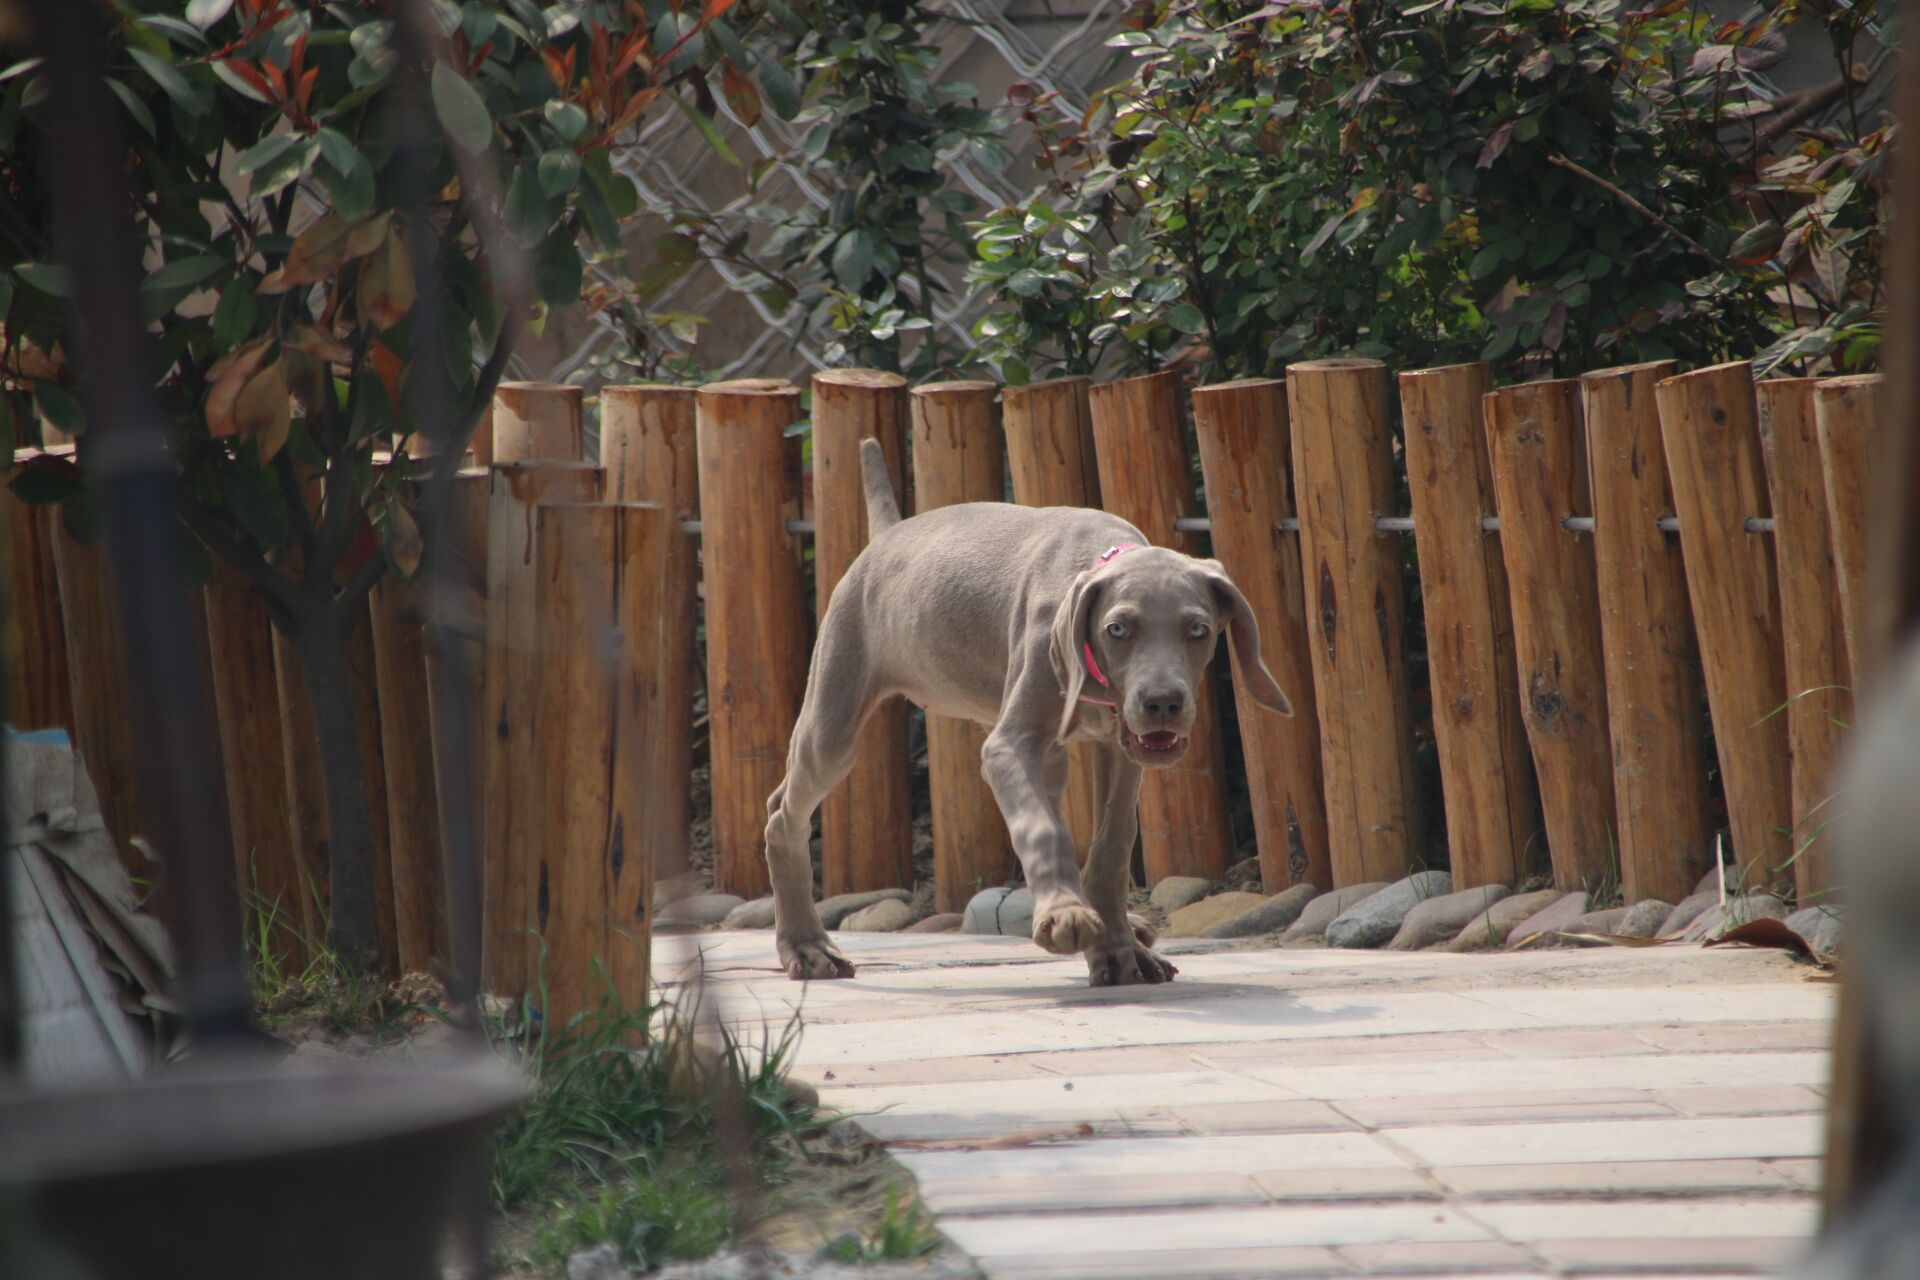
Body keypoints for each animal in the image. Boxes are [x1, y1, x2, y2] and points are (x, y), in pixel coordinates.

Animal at [760, 441, 1290, 990]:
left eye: (1198, 629)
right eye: (1117, 629)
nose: (1162, 703)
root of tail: (888, 534)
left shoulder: (1120, 749)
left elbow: (1112, 842)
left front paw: (1117, 948)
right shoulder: (1009, 745)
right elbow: (1042, 829)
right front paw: (1066, 917)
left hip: (1044, 749)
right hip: (835, 718)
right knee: (782, 813)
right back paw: (806, 945)